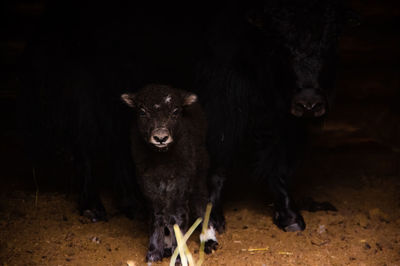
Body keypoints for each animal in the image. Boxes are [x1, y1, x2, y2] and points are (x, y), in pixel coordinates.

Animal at [195, 0, 356, 232]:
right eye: (282, 46)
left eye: (329, 42)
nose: (309, 103)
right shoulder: (222, 104)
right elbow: (218, 161)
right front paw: (212, 218)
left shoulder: (282, 119)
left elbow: (278, 163)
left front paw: (291, 217)